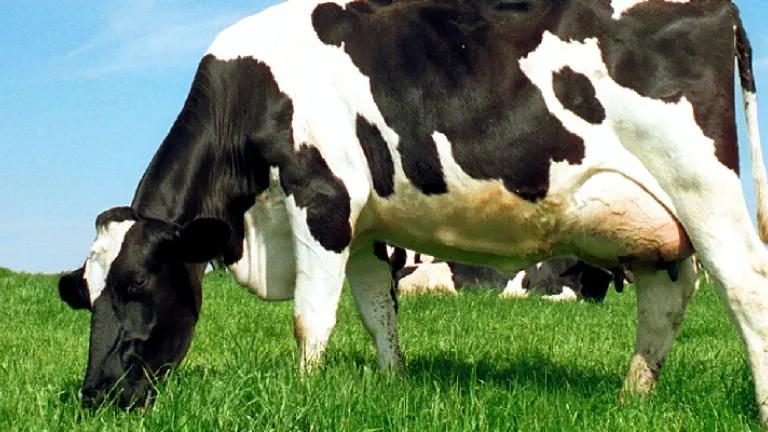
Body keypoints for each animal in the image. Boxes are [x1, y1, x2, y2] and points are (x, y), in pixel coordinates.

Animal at [57, 0, 768, 424]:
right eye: (85, 294)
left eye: (137, 283)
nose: (94, 395)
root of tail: (718, 8)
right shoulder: (367, 229)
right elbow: (378, 313)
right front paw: (394, 385)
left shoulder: (323, 199)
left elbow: (310, 320)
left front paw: (304, 397)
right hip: (654, 227)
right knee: (665, 306)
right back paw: (631, 399)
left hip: (702, 186)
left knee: (745, 288)